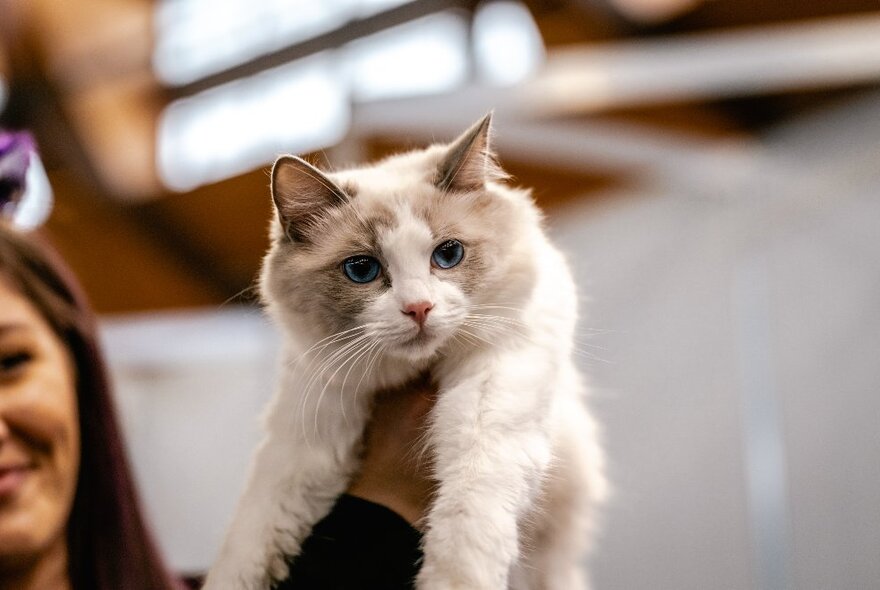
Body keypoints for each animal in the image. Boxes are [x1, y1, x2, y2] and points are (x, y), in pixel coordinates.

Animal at [205, 113, 604, 588]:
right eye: (362, 269)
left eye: (448, 254)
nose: (419, 308)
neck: (410, 373)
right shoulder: (307, 437)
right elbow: (250, 538)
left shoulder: (493, 394)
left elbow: (468, 513)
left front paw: (452, 579)